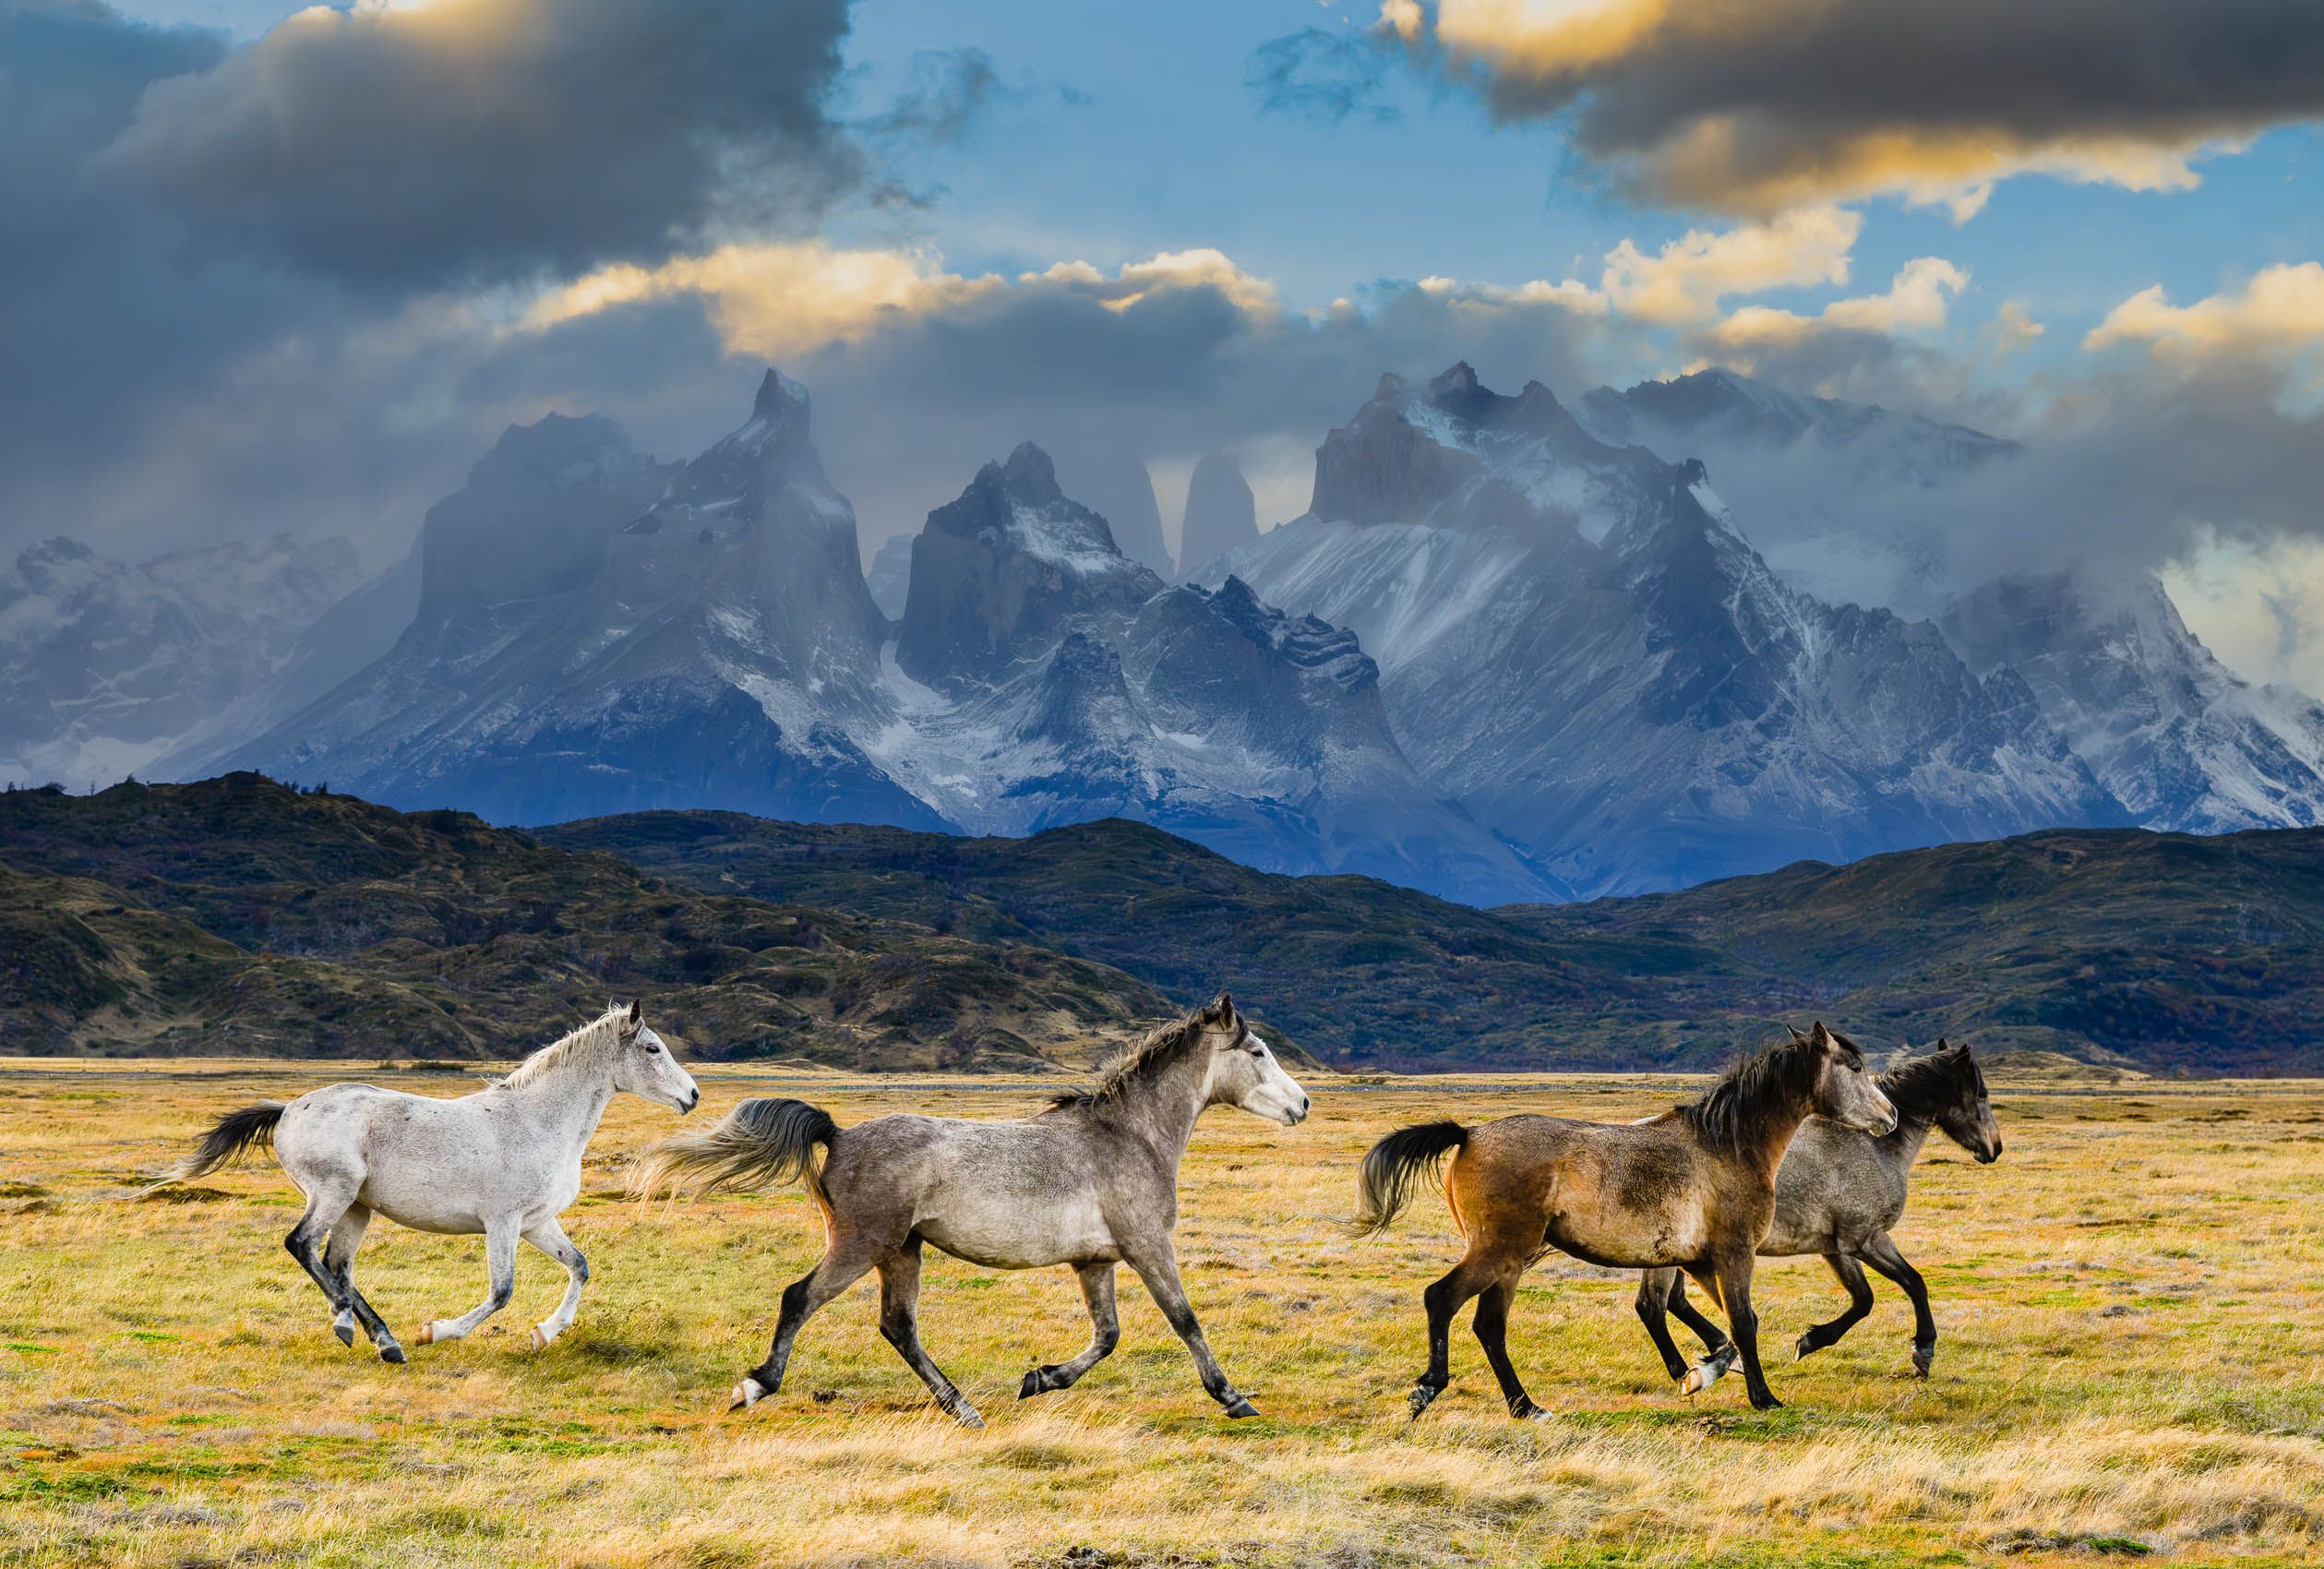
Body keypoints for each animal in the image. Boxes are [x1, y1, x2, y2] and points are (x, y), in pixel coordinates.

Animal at [149, 1000, 699, 1362]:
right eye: (652, 1048)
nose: (692, 1095)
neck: (536, 1122)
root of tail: (288, 1109)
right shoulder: (502, 1223)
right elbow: (501, 1291)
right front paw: (436, 1331)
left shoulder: (536, 1224)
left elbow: (580, 1267)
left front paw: (544, 1334)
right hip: (333, 1193)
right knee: (302, 1246)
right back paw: (347, 1322)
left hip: (357, 1207)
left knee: (338, 1264)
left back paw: (384, 1341)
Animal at [631, 994, 1308, 1428]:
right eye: (1257, 1051)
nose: (1302, 1104)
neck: (1128, 1137)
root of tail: (839, 1133)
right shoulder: (1147, 1246)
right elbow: (1184, 1320)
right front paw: (1233, 1398)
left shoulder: (1095, 1261)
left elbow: (1108, 1335)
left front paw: (1040, 1379)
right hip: (861, 1246)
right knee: (801, 1299)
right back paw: (754, 1387)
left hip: (901, 1251)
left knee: (898, 1327)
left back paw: (963, 1408)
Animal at [1353, 1021, 1897, 1416]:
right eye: (1855, 1066)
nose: (1889, 1117)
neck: (1729, 1146)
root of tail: (1469, 1134)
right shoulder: (1734, 1253)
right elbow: (1743, 1322)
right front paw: (1763, 1398)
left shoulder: (1697, 1260)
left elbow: (1713, 1329)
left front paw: (1700, 1372)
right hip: (1500, 1251)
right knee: (1441, 1298)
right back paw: (1429, 1390)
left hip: (1509, 1263)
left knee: (1489, 1326)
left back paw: (1525, 1407)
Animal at [1633, 1038, 2002, 1391]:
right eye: (1981, 1093)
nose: (1994, 1148)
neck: (1873, 1146)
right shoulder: (1865, 1240)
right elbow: (1912, 1283)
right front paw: (1923, 1351)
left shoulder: (1836, 1248)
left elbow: (1865, 1298)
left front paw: (1811, 1340)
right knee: (1653, 1307)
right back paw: (1693, 1368)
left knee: (1671, 1303)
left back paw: (1717, 1354)